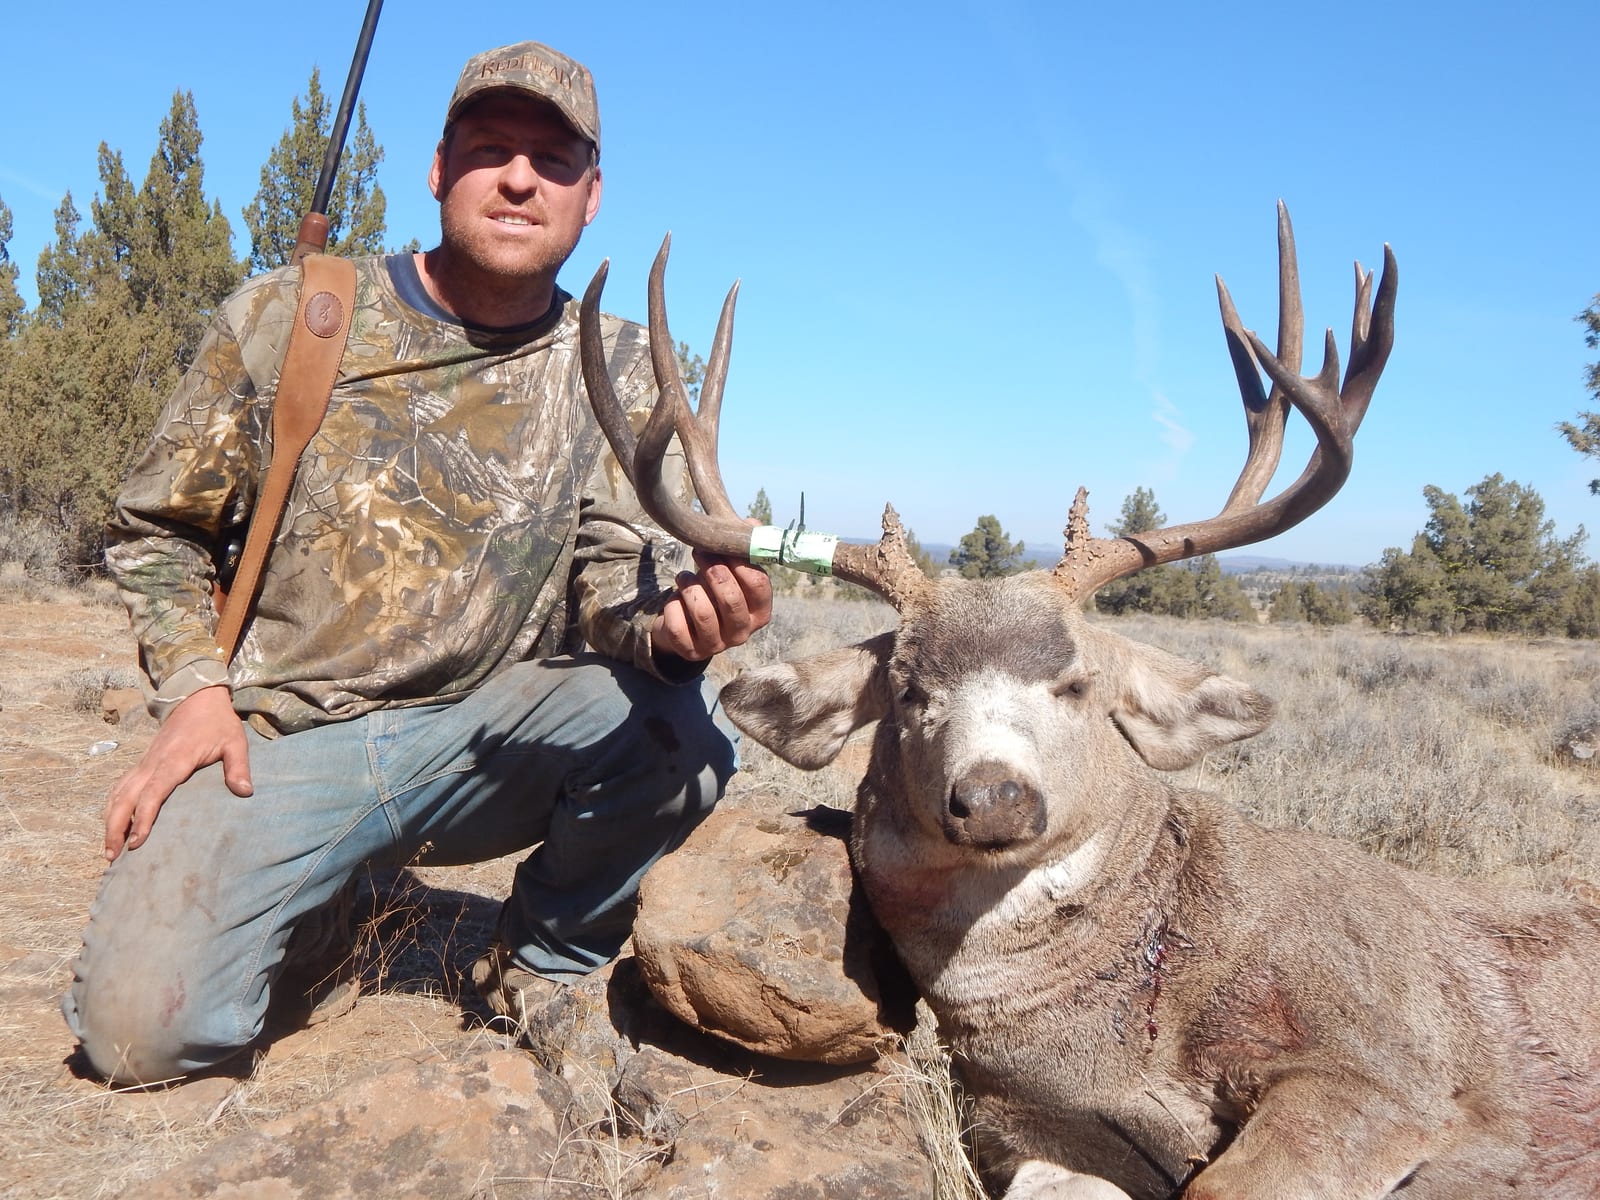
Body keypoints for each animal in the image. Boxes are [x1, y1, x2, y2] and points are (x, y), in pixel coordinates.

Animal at [577, 206, 1600, 1200]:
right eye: (909, 690)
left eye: (1076, 684)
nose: (993, 797)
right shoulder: (1014, 1113)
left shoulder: (1380, 1059)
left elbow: (1230, 1182)